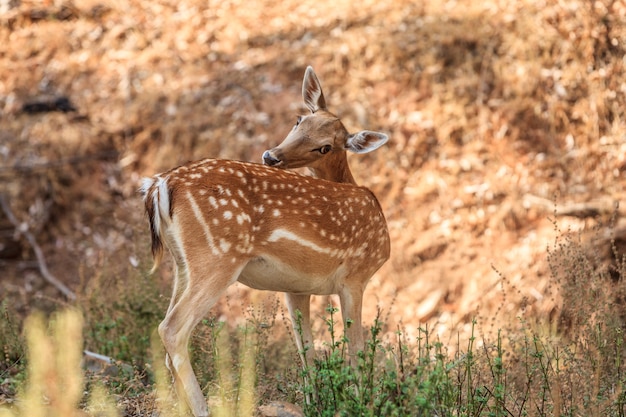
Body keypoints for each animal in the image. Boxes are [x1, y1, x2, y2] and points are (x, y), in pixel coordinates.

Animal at [139, 66, 388, 414]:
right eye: (298, 120)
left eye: (325, 147)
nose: (271, 155)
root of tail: (160, 184)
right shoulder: (356, 276)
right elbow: (356, 353)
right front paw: (358, 403)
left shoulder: (297, 288)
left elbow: (307, 351)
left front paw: (314, 402)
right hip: (220, 256)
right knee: (172, 329)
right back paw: (204, 408)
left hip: (183, 263)